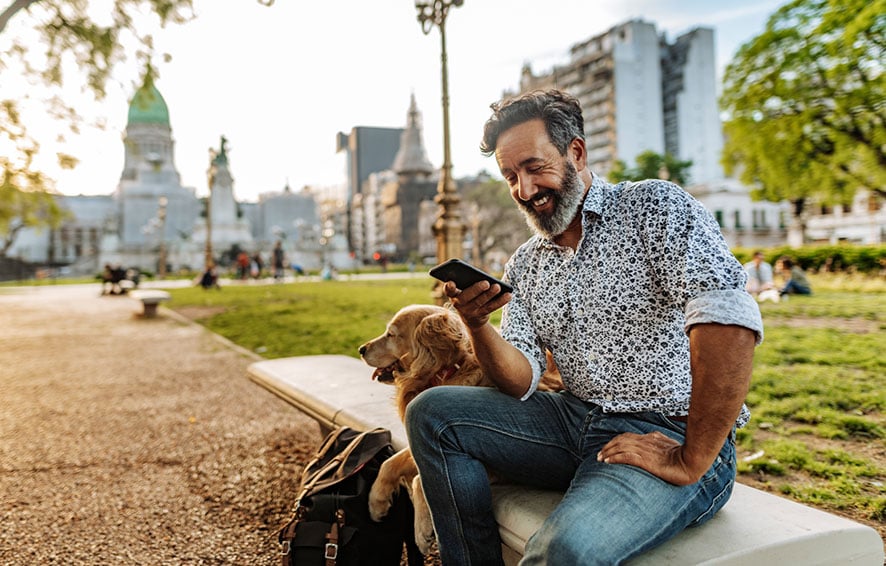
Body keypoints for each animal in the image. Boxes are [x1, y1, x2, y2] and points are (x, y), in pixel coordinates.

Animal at [356, 306, 560, 556]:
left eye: (391, 334)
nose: (361, 349)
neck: (449, 372)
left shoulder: (495, 467)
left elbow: (419, 481)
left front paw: (421, 531)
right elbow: (389, 463)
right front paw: (376, 503)